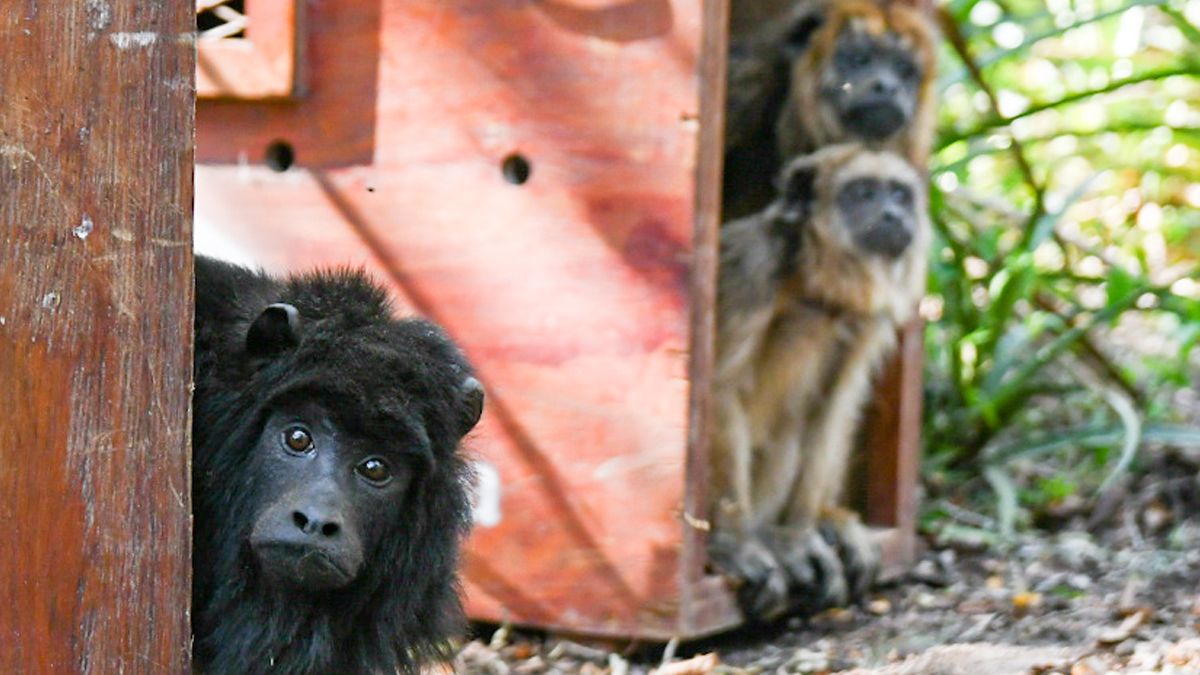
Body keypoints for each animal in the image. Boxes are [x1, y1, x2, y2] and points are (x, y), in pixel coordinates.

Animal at [708, 144, 928, 619]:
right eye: (862, 193)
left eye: (900, 195)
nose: (891, 214)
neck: (814, 285)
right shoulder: (752, 267)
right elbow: (717, 390)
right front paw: (735, 543)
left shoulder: (865, 319)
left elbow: (834, 403)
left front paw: (799, 535)